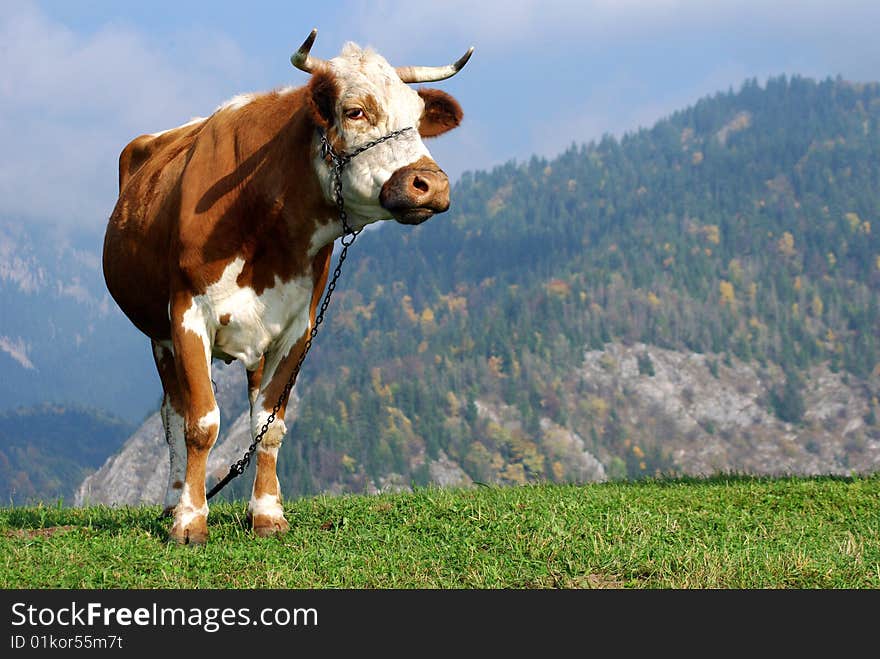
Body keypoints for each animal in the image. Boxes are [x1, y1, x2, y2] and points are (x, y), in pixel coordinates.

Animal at [102, 31, 470, 544]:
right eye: (355, 111)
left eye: (417, 117)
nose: (431, 184)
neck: (263, 216)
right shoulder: (186, 315)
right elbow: (201, 423)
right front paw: (190, 521)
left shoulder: (299, 326)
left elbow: (270, 424)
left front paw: (267, 513)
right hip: (158, 335)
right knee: (172, 412)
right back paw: (174, 500)